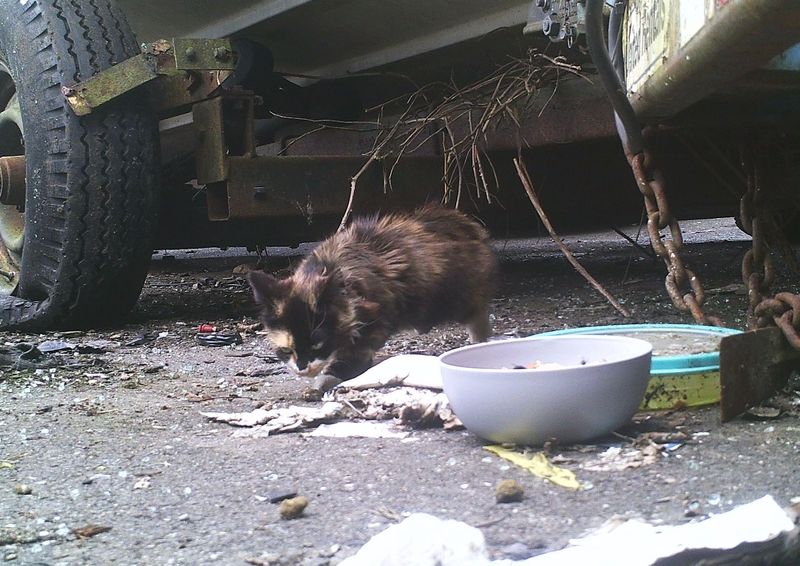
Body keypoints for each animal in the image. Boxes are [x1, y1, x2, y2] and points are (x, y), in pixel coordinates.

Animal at [247, 207, 496, 390]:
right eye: (287, 349)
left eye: (317, 344)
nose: (302, 368)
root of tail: (465, 223)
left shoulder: (375, 318)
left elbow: (351, 355)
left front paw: (330, 377)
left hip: (456, 299)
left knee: (478, 314)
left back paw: (480, 343)